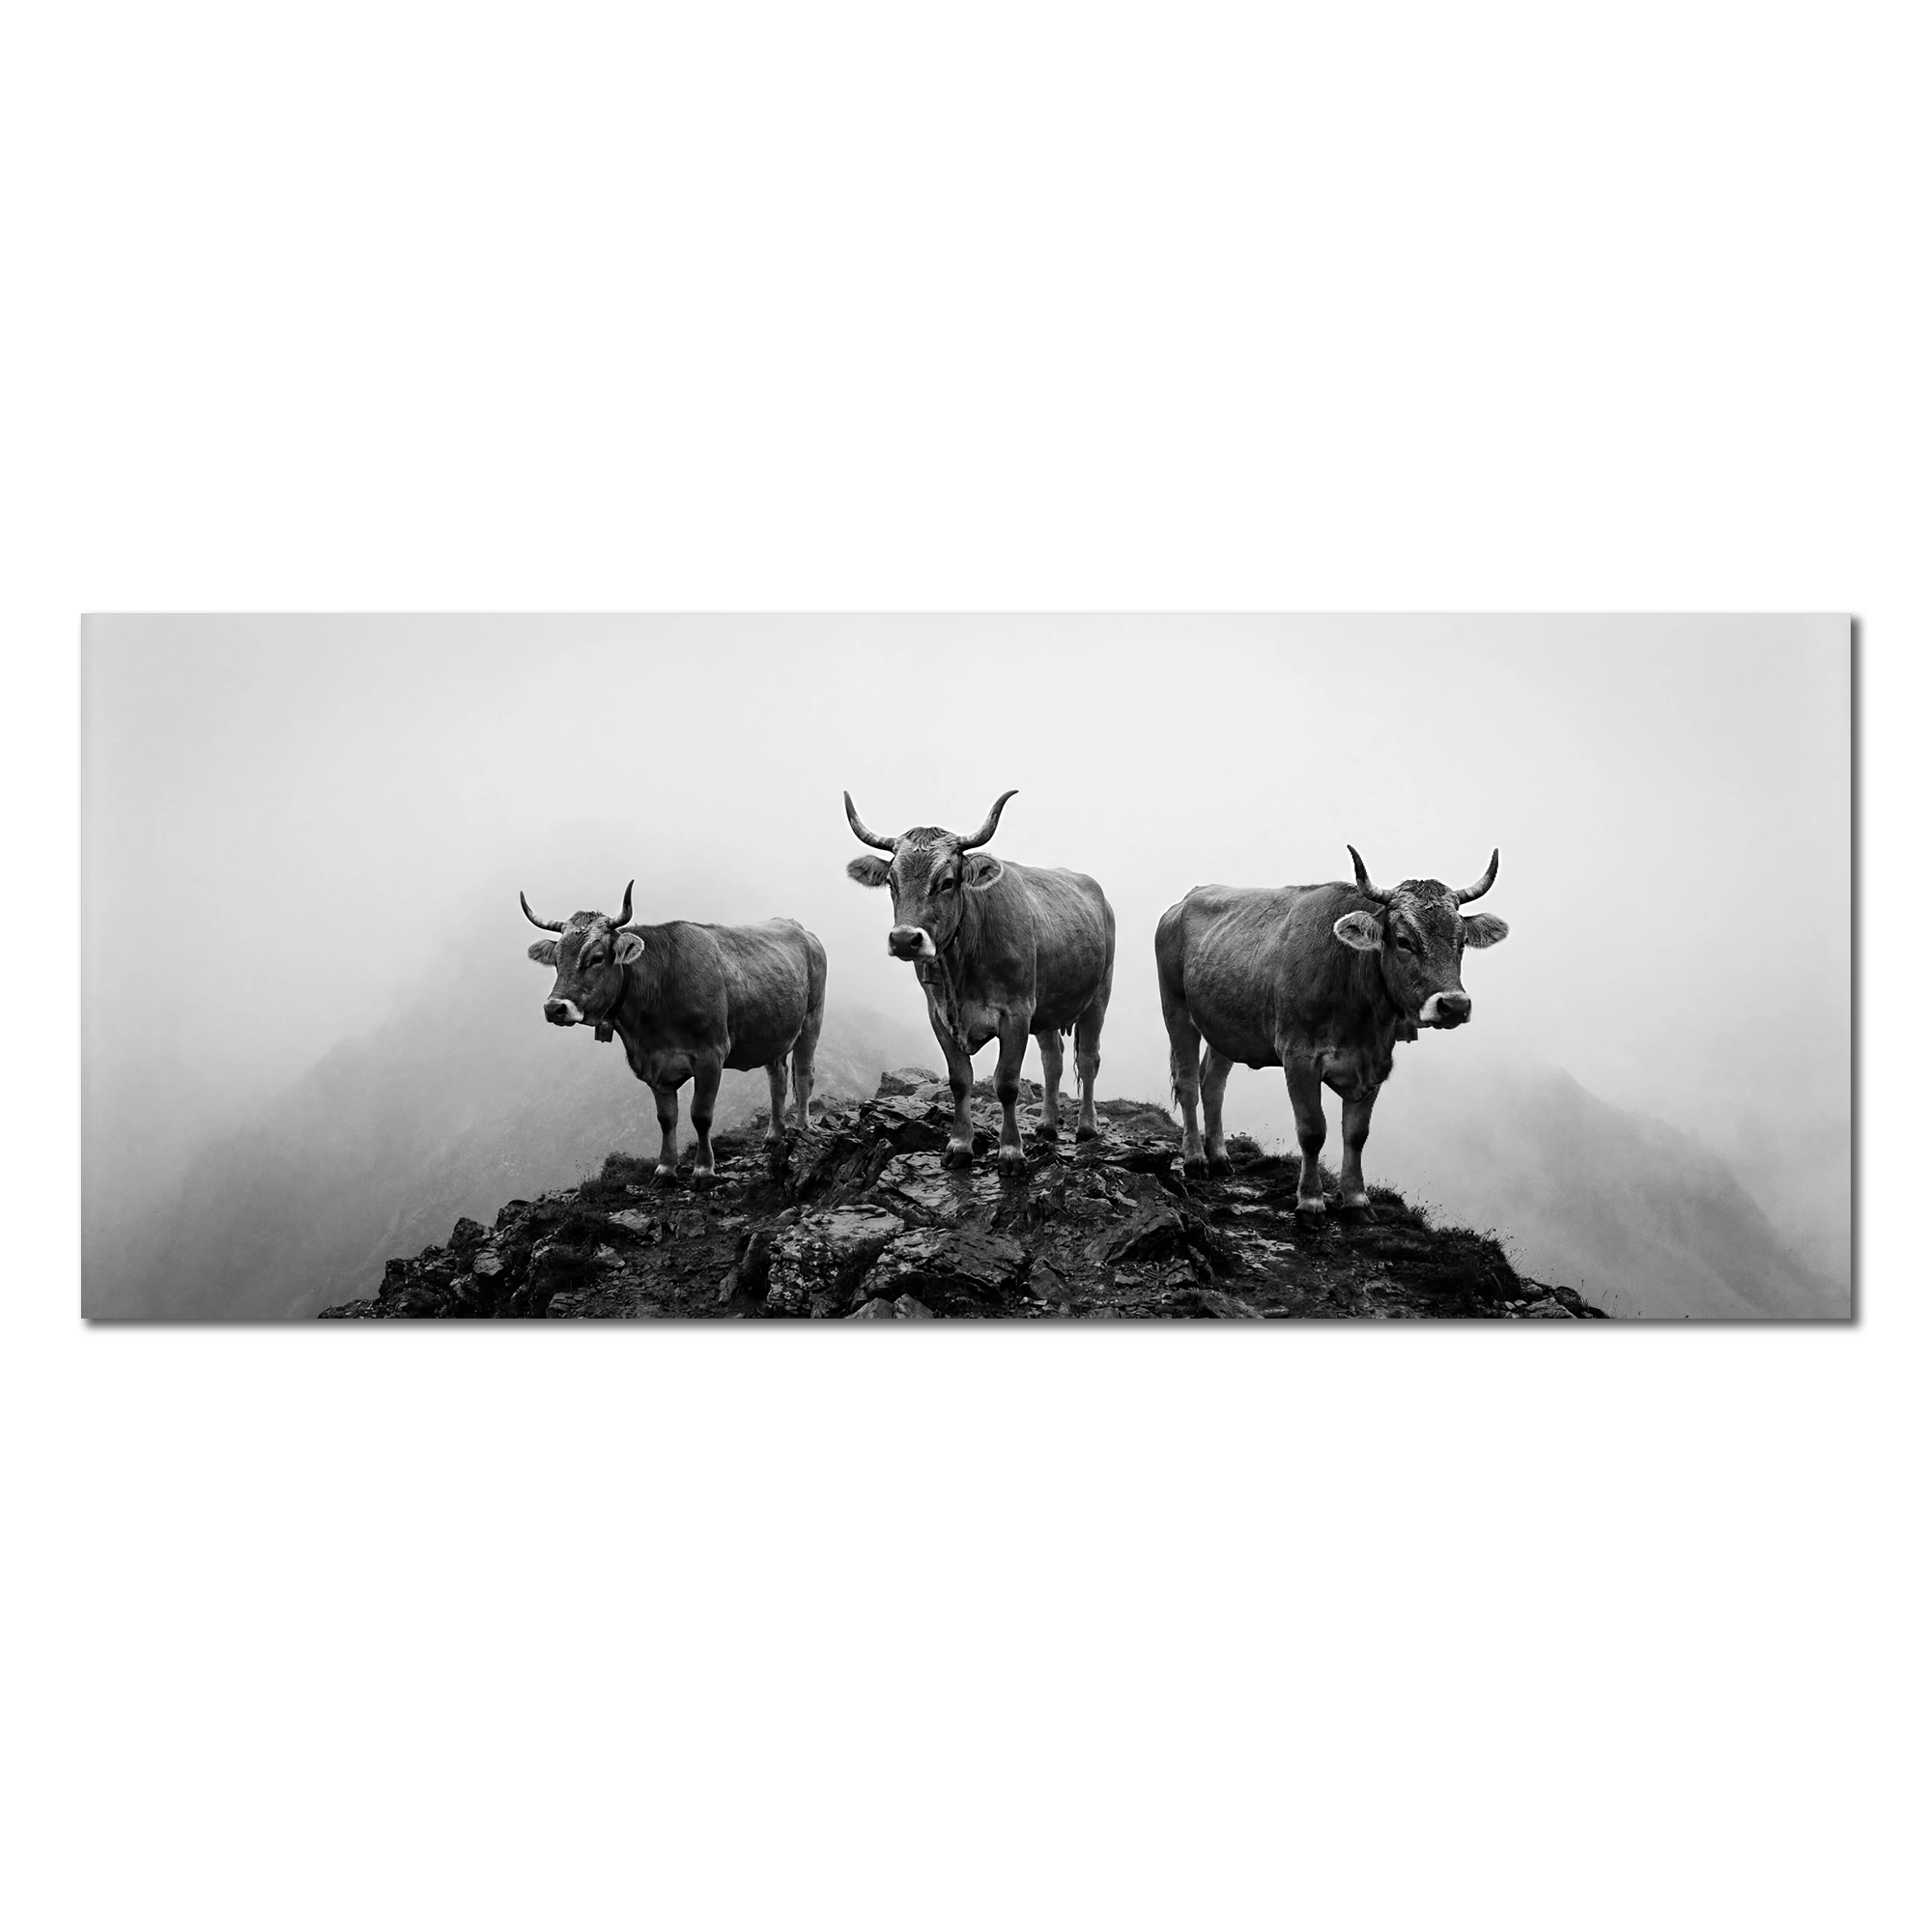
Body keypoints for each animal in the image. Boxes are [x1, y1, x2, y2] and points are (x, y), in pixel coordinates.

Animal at [521, 879, 827, 1189]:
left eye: (596, 958)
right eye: (557, 960)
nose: (555, 1008)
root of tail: (798, 927)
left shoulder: (711, 1055)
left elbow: (701, 1114)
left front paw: (703, 1169)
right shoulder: (653, 1064)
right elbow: (666, 1118)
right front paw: (666, 1168)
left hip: (811, 1020)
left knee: (803, 1075)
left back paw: (801, 1127)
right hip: (772, 1034)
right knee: (778, 1080)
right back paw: (773, 1136)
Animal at [844, 789, 1116, 1176]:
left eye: (946, 882)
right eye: (891, 882)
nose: (905, 940)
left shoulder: (1016, 1013)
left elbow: (1007, 1084)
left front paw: (1011, 1153)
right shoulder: (939, 1016)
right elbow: (960, 1080)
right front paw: (959, 1146)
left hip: (1098, 997)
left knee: (1089, 1058)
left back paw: (1087, 1127)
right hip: (1047, 1008)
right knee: (1053, 1060)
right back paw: (1047, 1125)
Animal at [1154, 846, 1509, 1214]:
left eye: (1462, 941)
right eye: (1403, 941)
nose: (1454, 1005)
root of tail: (1187, 899)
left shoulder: (1375, 1063)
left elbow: (1356, 1134)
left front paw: (1356, 1200)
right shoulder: (1299, 1057)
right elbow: (1313, 1131)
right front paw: (1310, 1202)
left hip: (1225, 1027)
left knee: (1213, 1084)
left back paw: (1220, 1157)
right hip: (1176, 1008)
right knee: (1188, 1083)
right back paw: (1196, 1160)